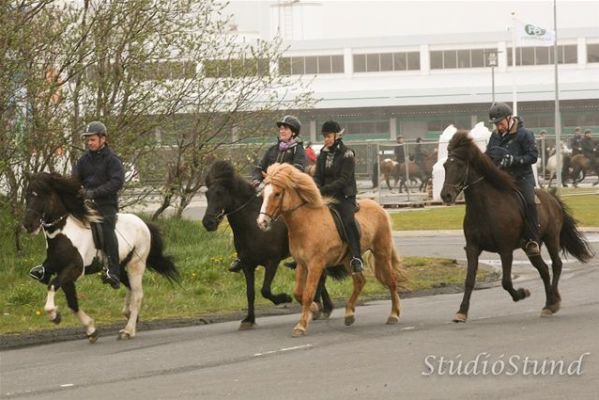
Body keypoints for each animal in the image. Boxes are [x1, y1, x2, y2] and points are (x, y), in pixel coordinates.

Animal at [24, 172, 179, 340]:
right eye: (26, 195)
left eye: (40, 195)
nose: (28, 225)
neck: (63, 234)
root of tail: (143, 223)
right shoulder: (63, 273)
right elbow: (72, 303)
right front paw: (90, 328)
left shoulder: (74, 269)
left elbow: (52, 285)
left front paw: (53, 313)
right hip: (120, 266)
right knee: (128, 285)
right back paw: (128, 312)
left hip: (136, 264)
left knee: (138, 294)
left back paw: (128, 330)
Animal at [204, 161, 340, 330]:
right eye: (207, 194)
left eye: (220, 193)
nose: (208, 223)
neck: (252, 226)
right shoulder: (247, 264)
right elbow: (250, 293)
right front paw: (249, 319)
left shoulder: (272, 262)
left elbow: (265, 290)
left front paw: (284, 298)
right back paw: (323, 307)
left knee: (321, 277)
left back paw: (319, 306)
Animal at [258, 163, 408, 338]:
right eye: (263, 194)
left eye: (277, 193)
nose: (262, 222)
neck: (306, 222)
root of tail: (380, 208)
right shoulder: (302, 264)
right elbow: (298, 293)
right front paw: (315, 309)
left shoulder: (315, 265)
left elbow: (308, 294)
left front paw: (301, 326)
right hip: (349, 260)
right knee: (360, 281)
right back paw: (349, 315)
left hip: (381, 253)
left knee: (391, 282)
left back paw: (393, 315)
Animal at [440, 130, 596, 322]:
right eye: (446, 165)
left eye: (460, 165)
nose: (446, 195)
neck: (485, 206)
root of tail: (553, 199)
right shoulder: (473, 248)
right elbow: (469, 280)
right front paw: (461, 311)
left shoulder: (505, 249)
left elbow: (506, 281)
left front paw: (522, 293)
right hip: (531, 247)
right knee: (544, 269)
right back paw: (549, 303)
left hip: (551, 238)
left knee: (556, 265)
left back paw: (553, 302)